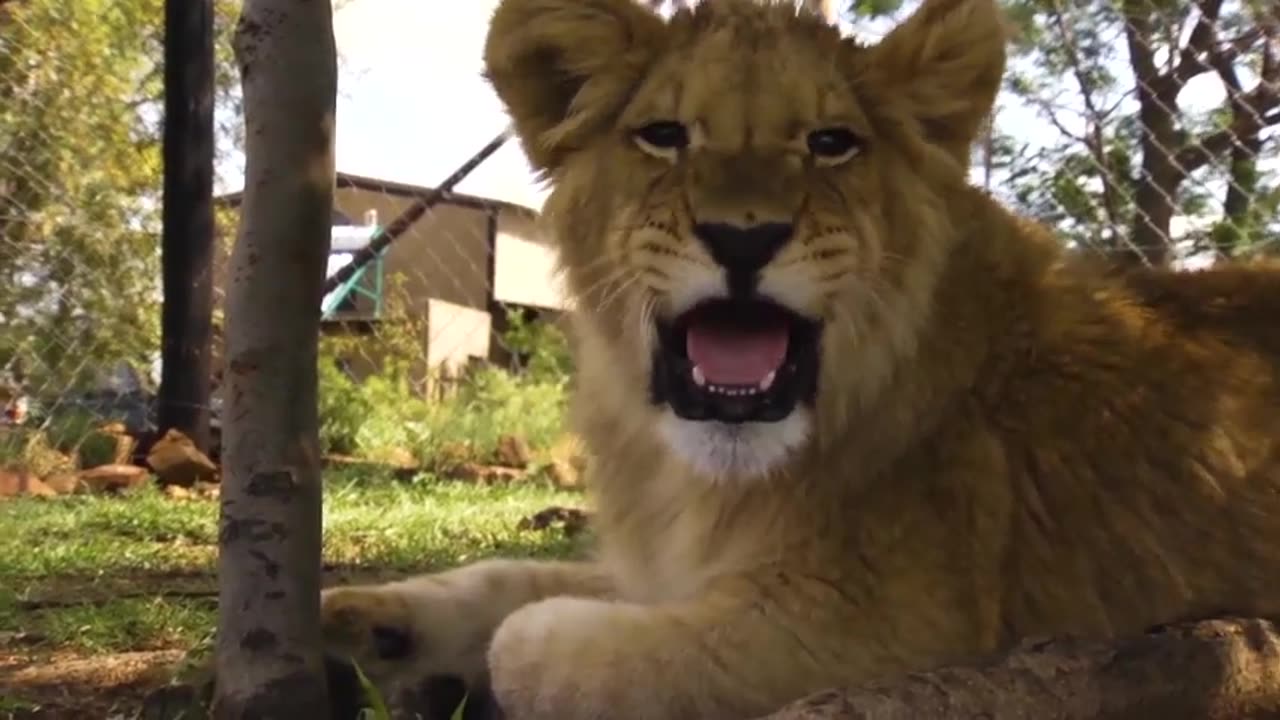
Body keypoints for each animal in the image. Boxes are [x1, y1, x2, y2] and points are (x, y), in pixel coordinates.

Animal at [318, 0, 1280, 717]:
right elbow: (512, 576)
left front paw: (477, 668)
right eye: (664, 134)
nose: (745, 237)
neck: (697, 477)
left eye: (831, 143)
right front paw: (373, 626)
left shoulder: (876, 630)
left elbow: (539, 640)